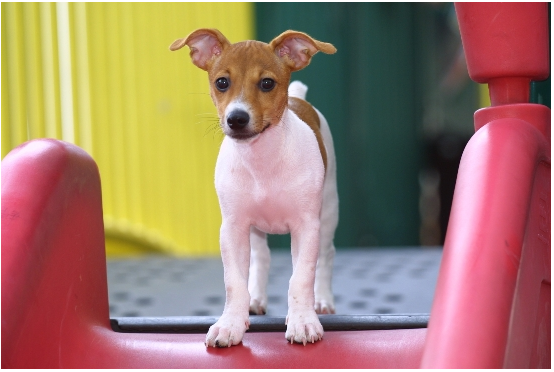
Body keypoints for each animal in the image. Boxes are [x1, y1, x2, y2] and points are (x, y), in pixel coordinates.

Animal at [170, 29, 338, 348]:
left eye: (267, 83)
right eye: (222, 82)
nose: (237, 118)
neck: (262, 160)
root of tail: (298, 98)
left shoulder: (306, 227)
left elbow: (301, 278)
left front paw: (303, 321)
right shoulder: (233, 228)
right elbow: (235, 282)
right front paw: (230, 324)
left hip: (327, 215)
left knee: (326, 257)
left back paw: (322, 301)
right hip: (255, 229)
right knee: (262, 258)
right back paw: (256, 299)